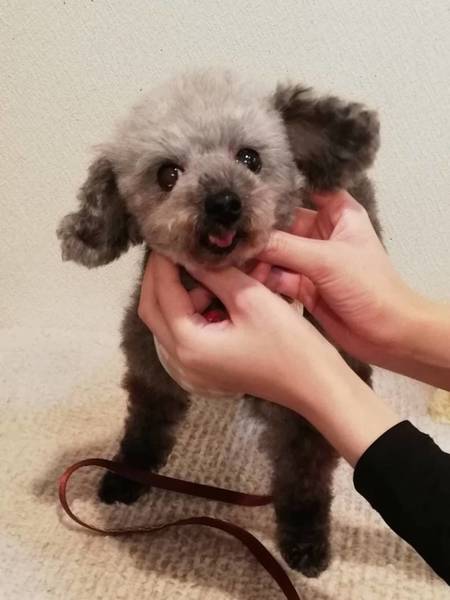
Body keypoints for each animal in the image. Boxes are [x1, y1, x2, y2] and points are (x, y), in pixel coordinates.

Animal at [57, 70, 380, 577]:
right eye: (167, 174)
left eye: (249, 158)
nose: (223, 203)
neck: (217, 295)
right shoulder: (153, 370)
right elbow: (145, 427)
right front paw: (125, 476)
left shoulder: (303, 410)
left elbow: (303, 478)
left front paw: (305, 539)